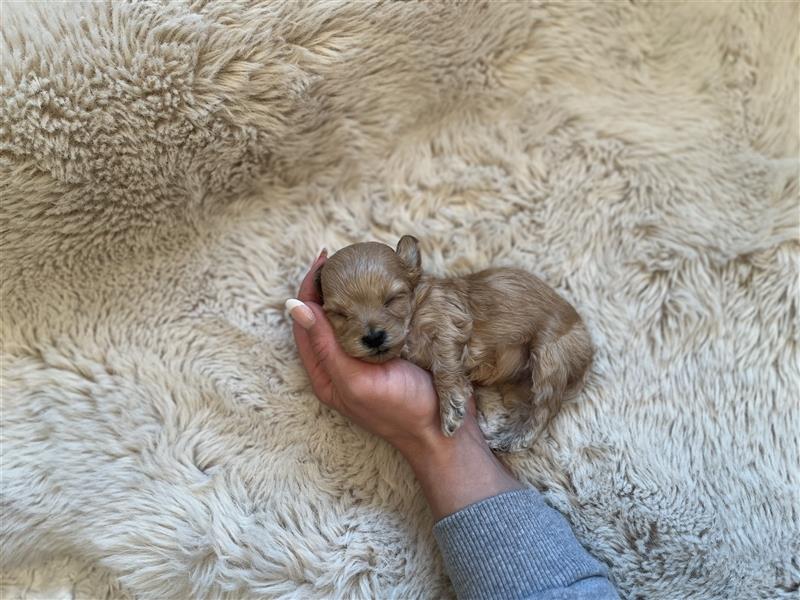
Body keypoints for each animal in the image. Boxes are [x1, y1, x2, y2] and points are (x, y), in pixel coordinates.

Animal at [316, 237, 592, 448]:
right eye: (340, 314)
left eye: (392, 299)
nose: (374, 337)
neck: (415, 312)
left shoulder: (448, 323)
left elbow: (445, 365)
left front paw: (450, 408)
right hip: (521, 385)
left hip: (551, 356)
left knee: (544, 409)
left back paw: (512, 439)